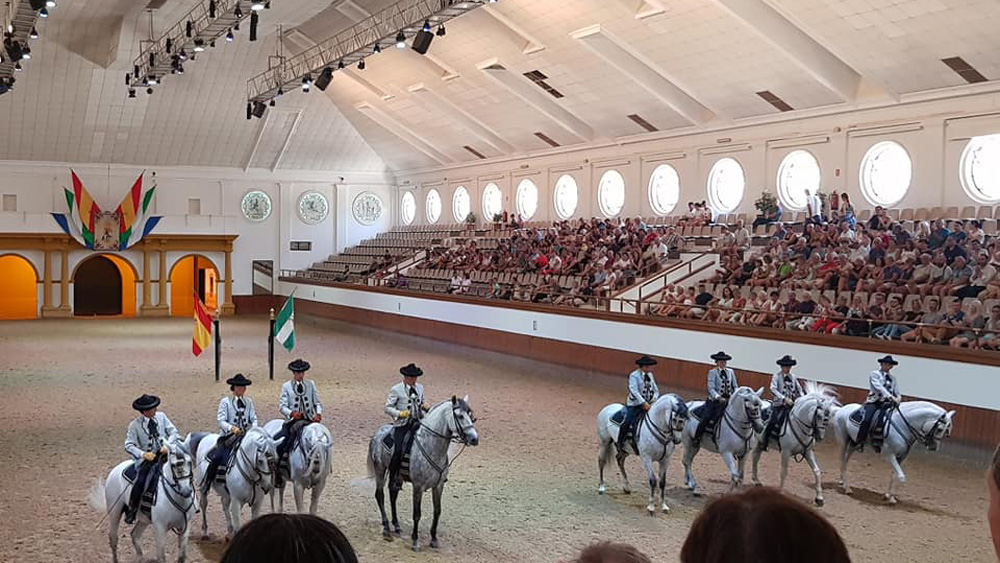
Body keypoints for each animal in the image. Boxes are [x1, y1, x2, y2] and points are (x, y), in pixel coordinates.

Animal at [368, 396, 480, 552]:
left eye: (471, 415)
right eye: (459, 416)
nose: (475, 439)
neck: (432, 446)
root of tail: (378, 433)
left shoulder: (438, 486)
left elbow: (437, 511)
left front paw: (434, 539)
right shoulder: (418, 486)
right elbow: (417, 514)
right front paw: (415, 541)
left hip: (395, 474)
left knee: (392, 495)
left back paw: (397, 526)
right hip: (380, 469)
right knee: (380, 495)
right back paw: (386, 528)